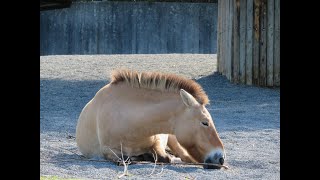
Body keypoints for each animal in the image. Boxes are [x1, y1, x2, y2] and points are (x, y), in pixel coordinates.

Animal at [75, 69, 225, 169]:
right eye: (205, 122)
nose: (221, 158)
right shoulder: (107, 150)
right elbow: (125, 159)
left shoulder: (158, 140)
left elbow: (164, 157)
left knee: (185, 156)